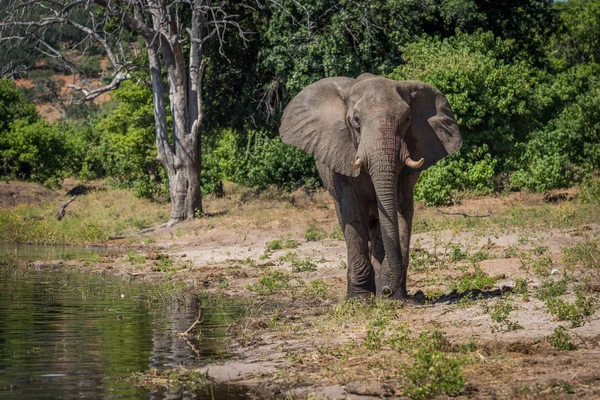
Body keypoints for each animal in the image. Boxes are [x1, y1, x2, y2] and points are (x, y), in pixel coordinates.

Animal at [278, 73, 462, 298]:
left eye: (407, 119)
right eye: (356, 120)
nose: (387, 291)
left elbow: (401, 212)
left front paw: (393, 296)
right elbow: (353, 215)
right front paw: (360, 299)